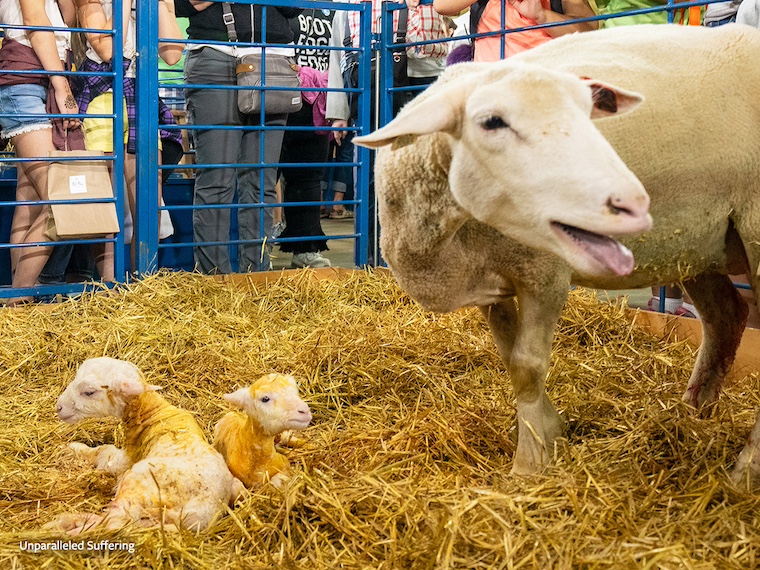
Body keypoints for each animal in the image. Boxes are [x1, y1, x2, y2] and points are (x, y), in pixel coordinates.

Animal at [51, 357, 243, 534]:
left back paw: (63, 525)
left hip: (135, 486)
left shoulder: (124, 461)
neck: (153, 412)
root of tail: (202, 515)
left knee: (111, 523)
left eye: (89, 392)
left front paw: (73, 447)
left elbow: (103, 451)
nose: (59, 407)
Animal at [353, 24, 760, 487]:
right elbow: (508, 355)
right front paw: (548, 431)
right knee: (727, 315)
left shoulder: (544, 275)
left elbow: (527, 366)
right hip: (698, 242)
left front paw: (530, 461)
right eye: (491, 121)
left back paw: (744, 470)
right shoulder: (494, 281)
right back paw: (691, 414)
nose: (633, 203)